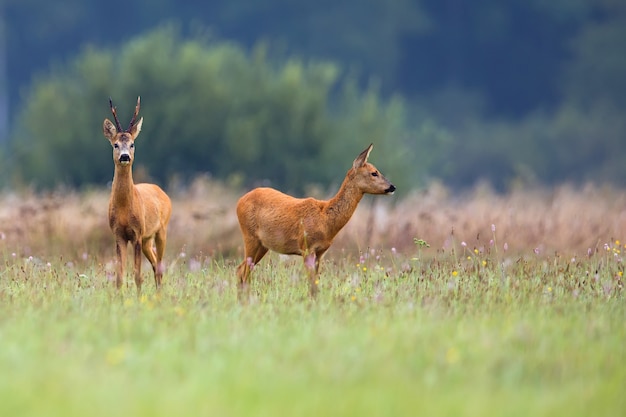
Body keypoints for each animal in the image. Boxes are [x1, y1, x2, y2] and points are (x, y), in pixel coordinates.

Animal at [102, 96, 172, 294]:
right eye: (116, 144)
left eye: (132, 144)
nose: (125, 156)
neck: (125, 208)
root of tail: (162, 192)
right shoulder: (118, 234)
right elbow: (119, 276)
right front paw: (118, 296)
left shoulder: (137, 233)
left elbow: (137, 275)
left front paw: (139, 297)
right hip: (148, 239)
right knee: (156, 264)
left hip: (161, 230)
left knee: (159, 265)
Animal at [235, 143, 394, 296]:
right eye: (374, 172)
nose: (392, 187)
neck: (325, 220)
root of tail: (239, 201)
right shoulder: (306, 247)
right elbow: (312, 284)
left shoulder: (320, 252)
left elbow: (315, 283)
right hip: (250, 236)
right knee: (243, 271)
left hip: (263, 245)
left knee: (242, 269)